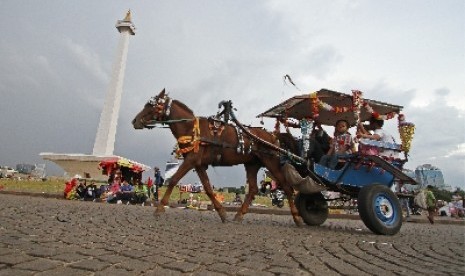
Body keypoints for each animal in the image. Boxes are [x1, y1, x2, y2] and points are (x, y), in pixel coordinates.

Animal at [132, 89, 302, 226]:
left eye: (151, 105)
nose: (135, 121)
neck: (191, 129)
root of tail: (272, 136)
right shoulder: (199, 164)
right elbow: (207, 188)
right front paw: (221, 212)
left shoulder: (191, 160)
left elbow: (173, 180)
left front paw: (160, 208)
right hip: (252, 165)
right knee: (253, 189)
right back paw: (239, 215)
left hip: (271, 162)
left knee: (287, 187)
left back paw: (297, 217)